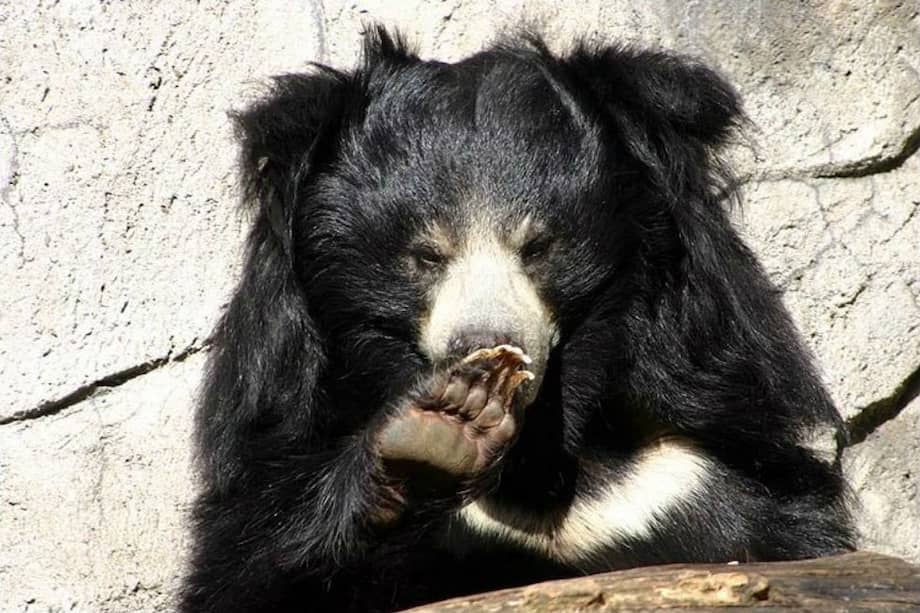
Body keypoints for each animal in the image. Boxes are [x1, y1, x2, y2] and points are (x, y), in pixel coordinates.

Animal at [180, 27, 854, 613]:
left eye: (537, 246)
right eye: (426, 255)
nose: (484, 348)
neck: (532, 461)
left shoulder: (697, 479)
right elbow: (249, 568)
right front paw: (438, 432)